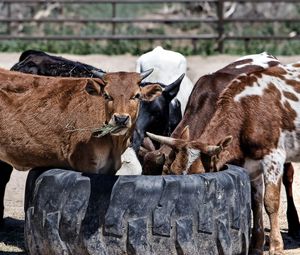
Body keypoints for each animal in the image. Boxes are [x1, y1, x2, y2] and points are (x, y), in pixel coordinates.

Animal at [147, 59, 300, 253]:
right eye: (172, 173)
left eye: (200, 176)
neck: (247, 111)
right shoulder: (251, 165)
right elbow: (255, 201)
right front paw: (256, 245)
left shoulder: (273, 157)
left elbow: (270, 202)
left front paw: (275, 246)